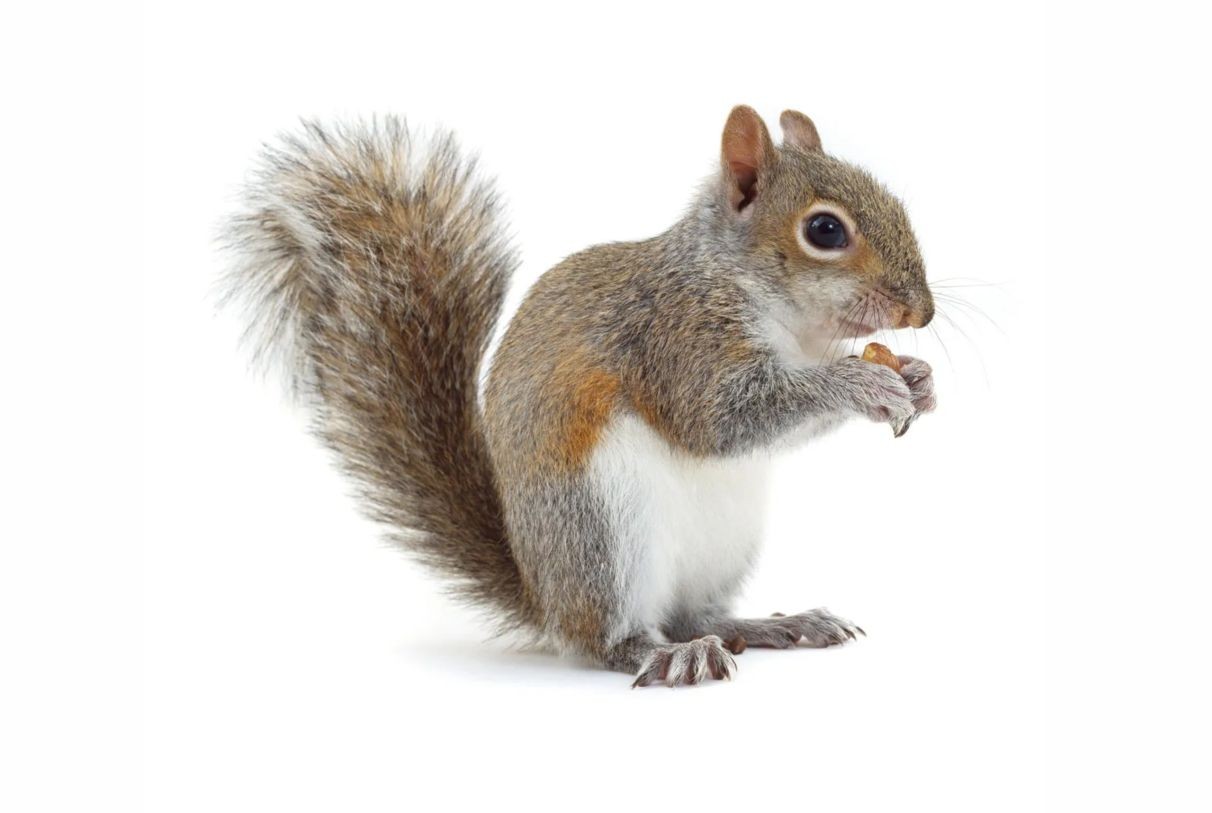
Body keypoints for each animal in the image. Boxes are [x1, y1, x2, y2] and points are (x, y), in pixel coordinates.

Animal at [224, 106, 936, 687]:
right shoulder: (675, 338)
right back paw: (664, 655)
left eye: (893, 200)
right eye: (825, 230)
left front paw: (918, 380)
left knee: (697, 615)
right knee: (611, 639)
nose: (922, 312)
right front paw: (861, 382)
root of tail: (545, 599)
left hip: (724, 545)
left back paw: (773, 625)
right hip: (601, 528)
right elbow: (718, 418)